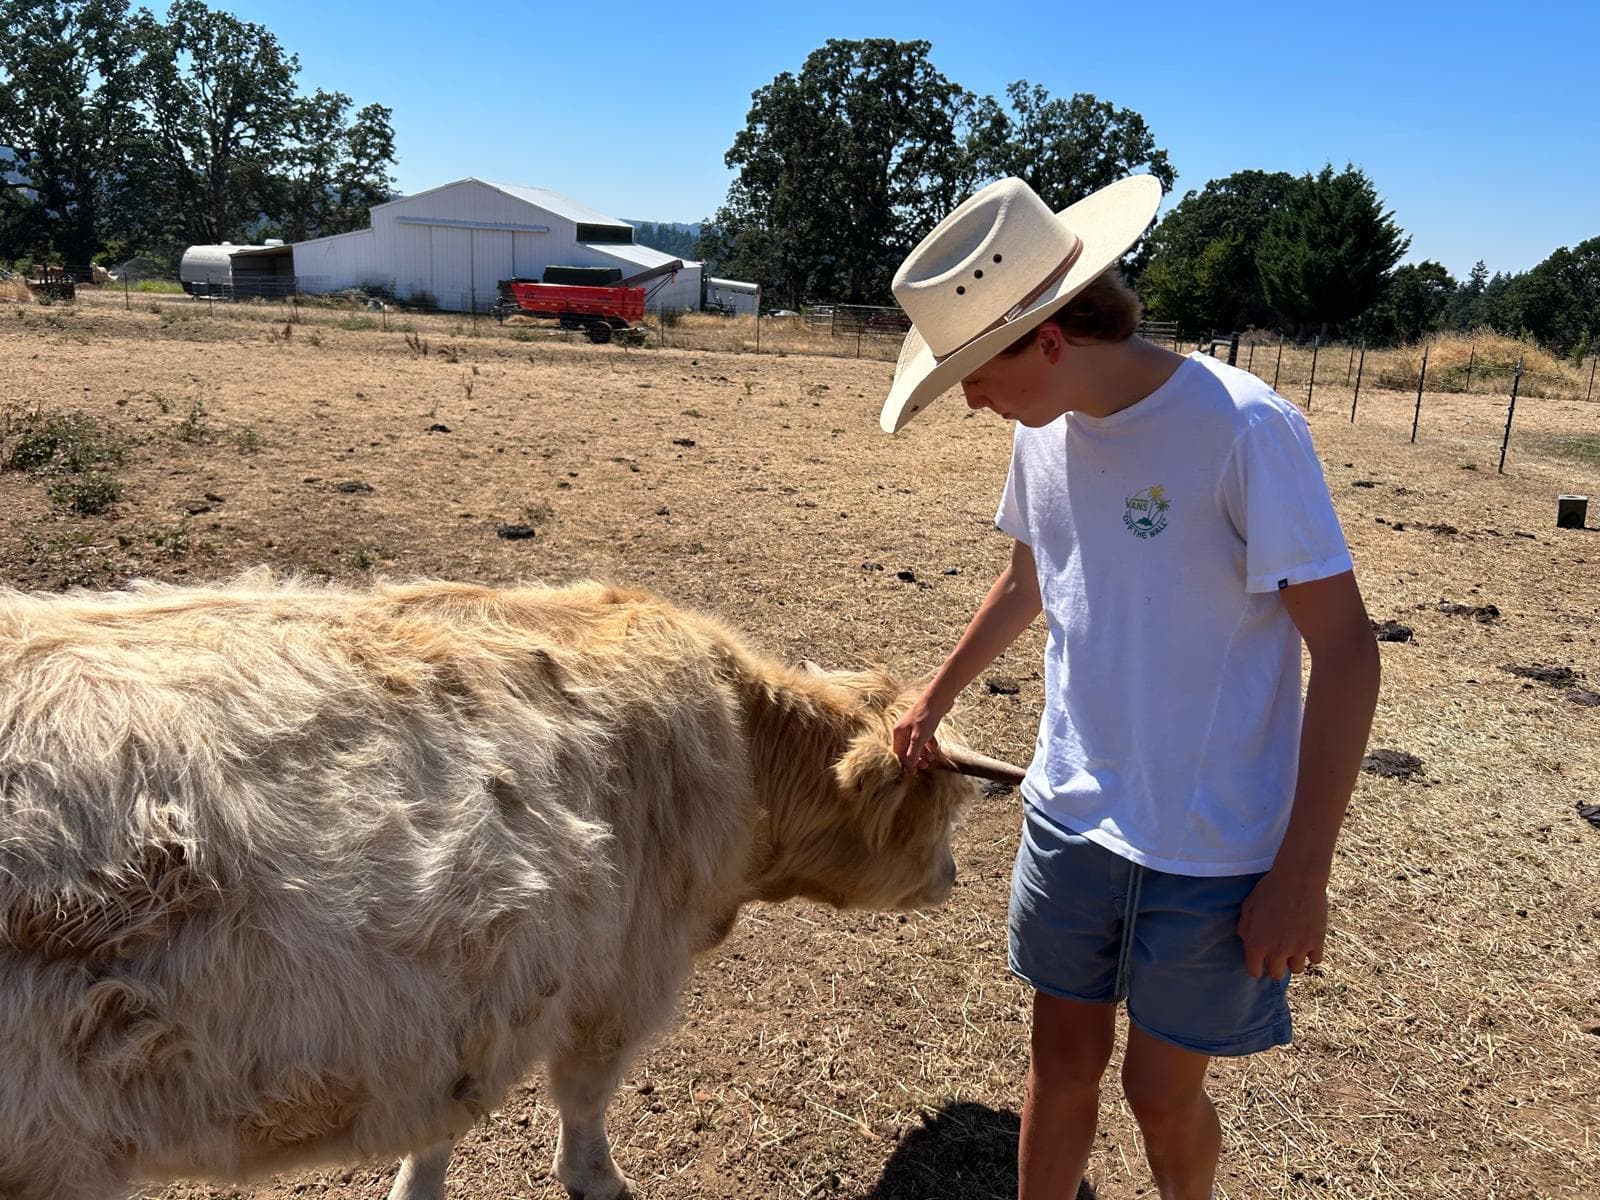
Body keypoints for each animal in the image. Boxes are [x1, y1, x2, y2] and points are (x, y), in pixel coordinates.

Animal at [0, 573, 1023, 1200]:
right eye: (945, 807)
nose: (954, 877)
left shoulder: (457, 1012)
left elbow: (439, 1124)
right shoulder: (619, 981)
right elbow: (584, 1103)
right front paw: (601, 1180)